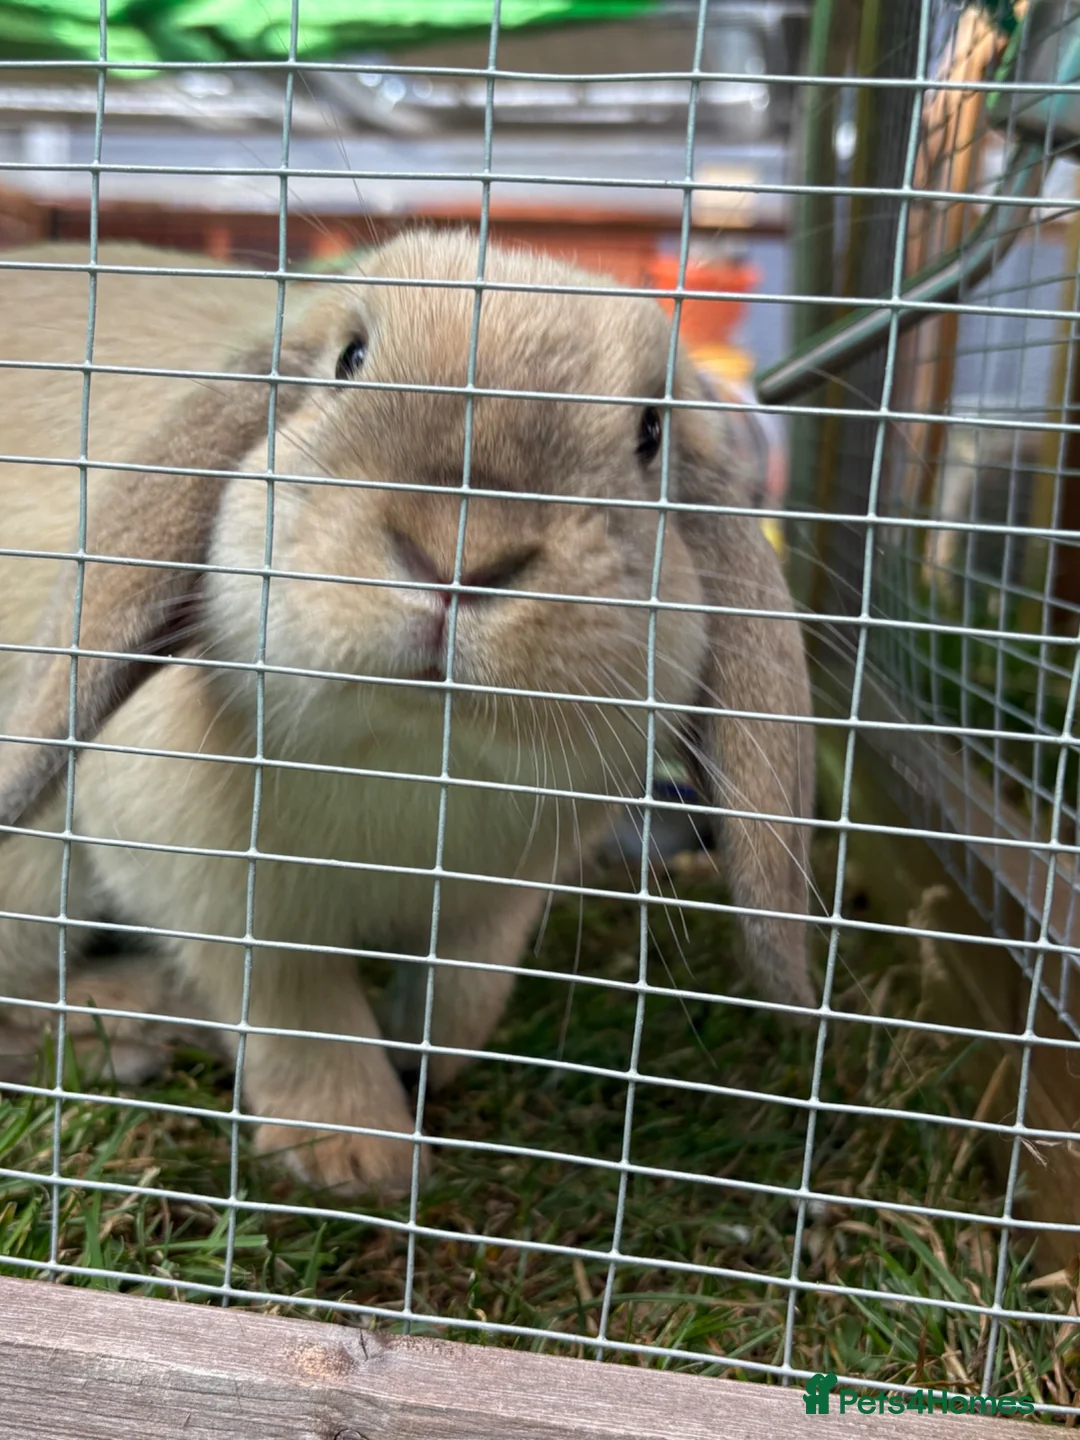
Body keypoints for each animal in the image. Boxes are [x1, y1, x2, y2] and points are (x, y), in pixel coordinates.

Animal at [0, 229, 815, 1195]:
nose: (462, 553)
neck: (419, 752)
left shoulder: (501, 899)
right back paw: (130, 1021)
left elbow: (465, 992)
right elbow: (299, 1011)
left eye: (650, 433)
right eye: (350, 360)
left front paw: (421, 1059)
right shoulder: (219, 893)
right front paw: (361, 1159)